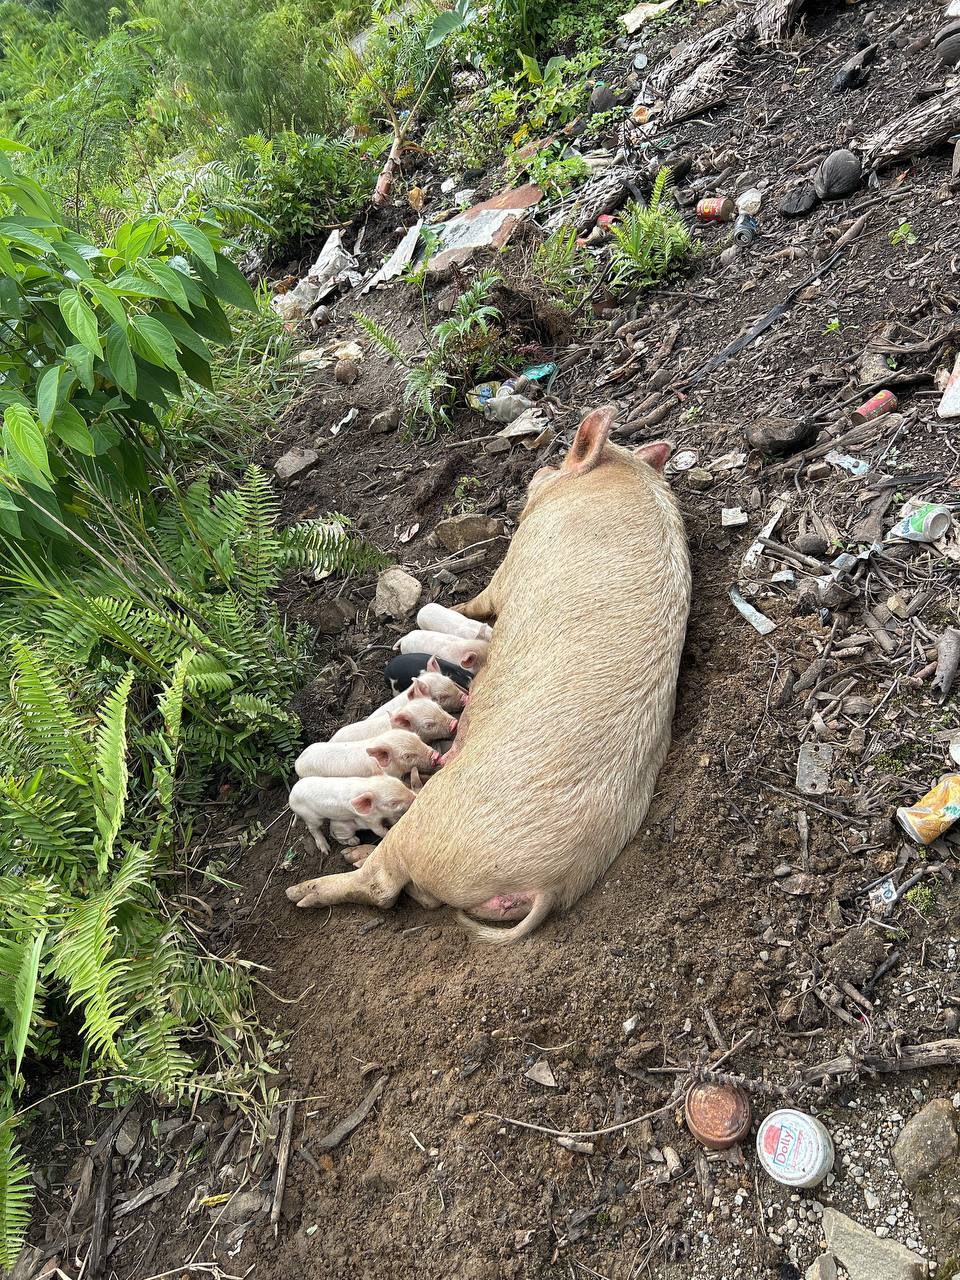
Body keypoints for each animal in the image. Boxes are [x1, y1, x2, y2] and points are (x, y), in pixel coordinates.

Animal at [285, 407, 691, 942]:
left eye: (559, 461)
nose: (537, 470)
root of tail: (546, 885)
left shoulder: (515, 558)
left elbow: (482, 601)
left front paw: (453, 607)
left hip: (426, 825)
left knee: (381, 884)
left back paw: (308, 888)